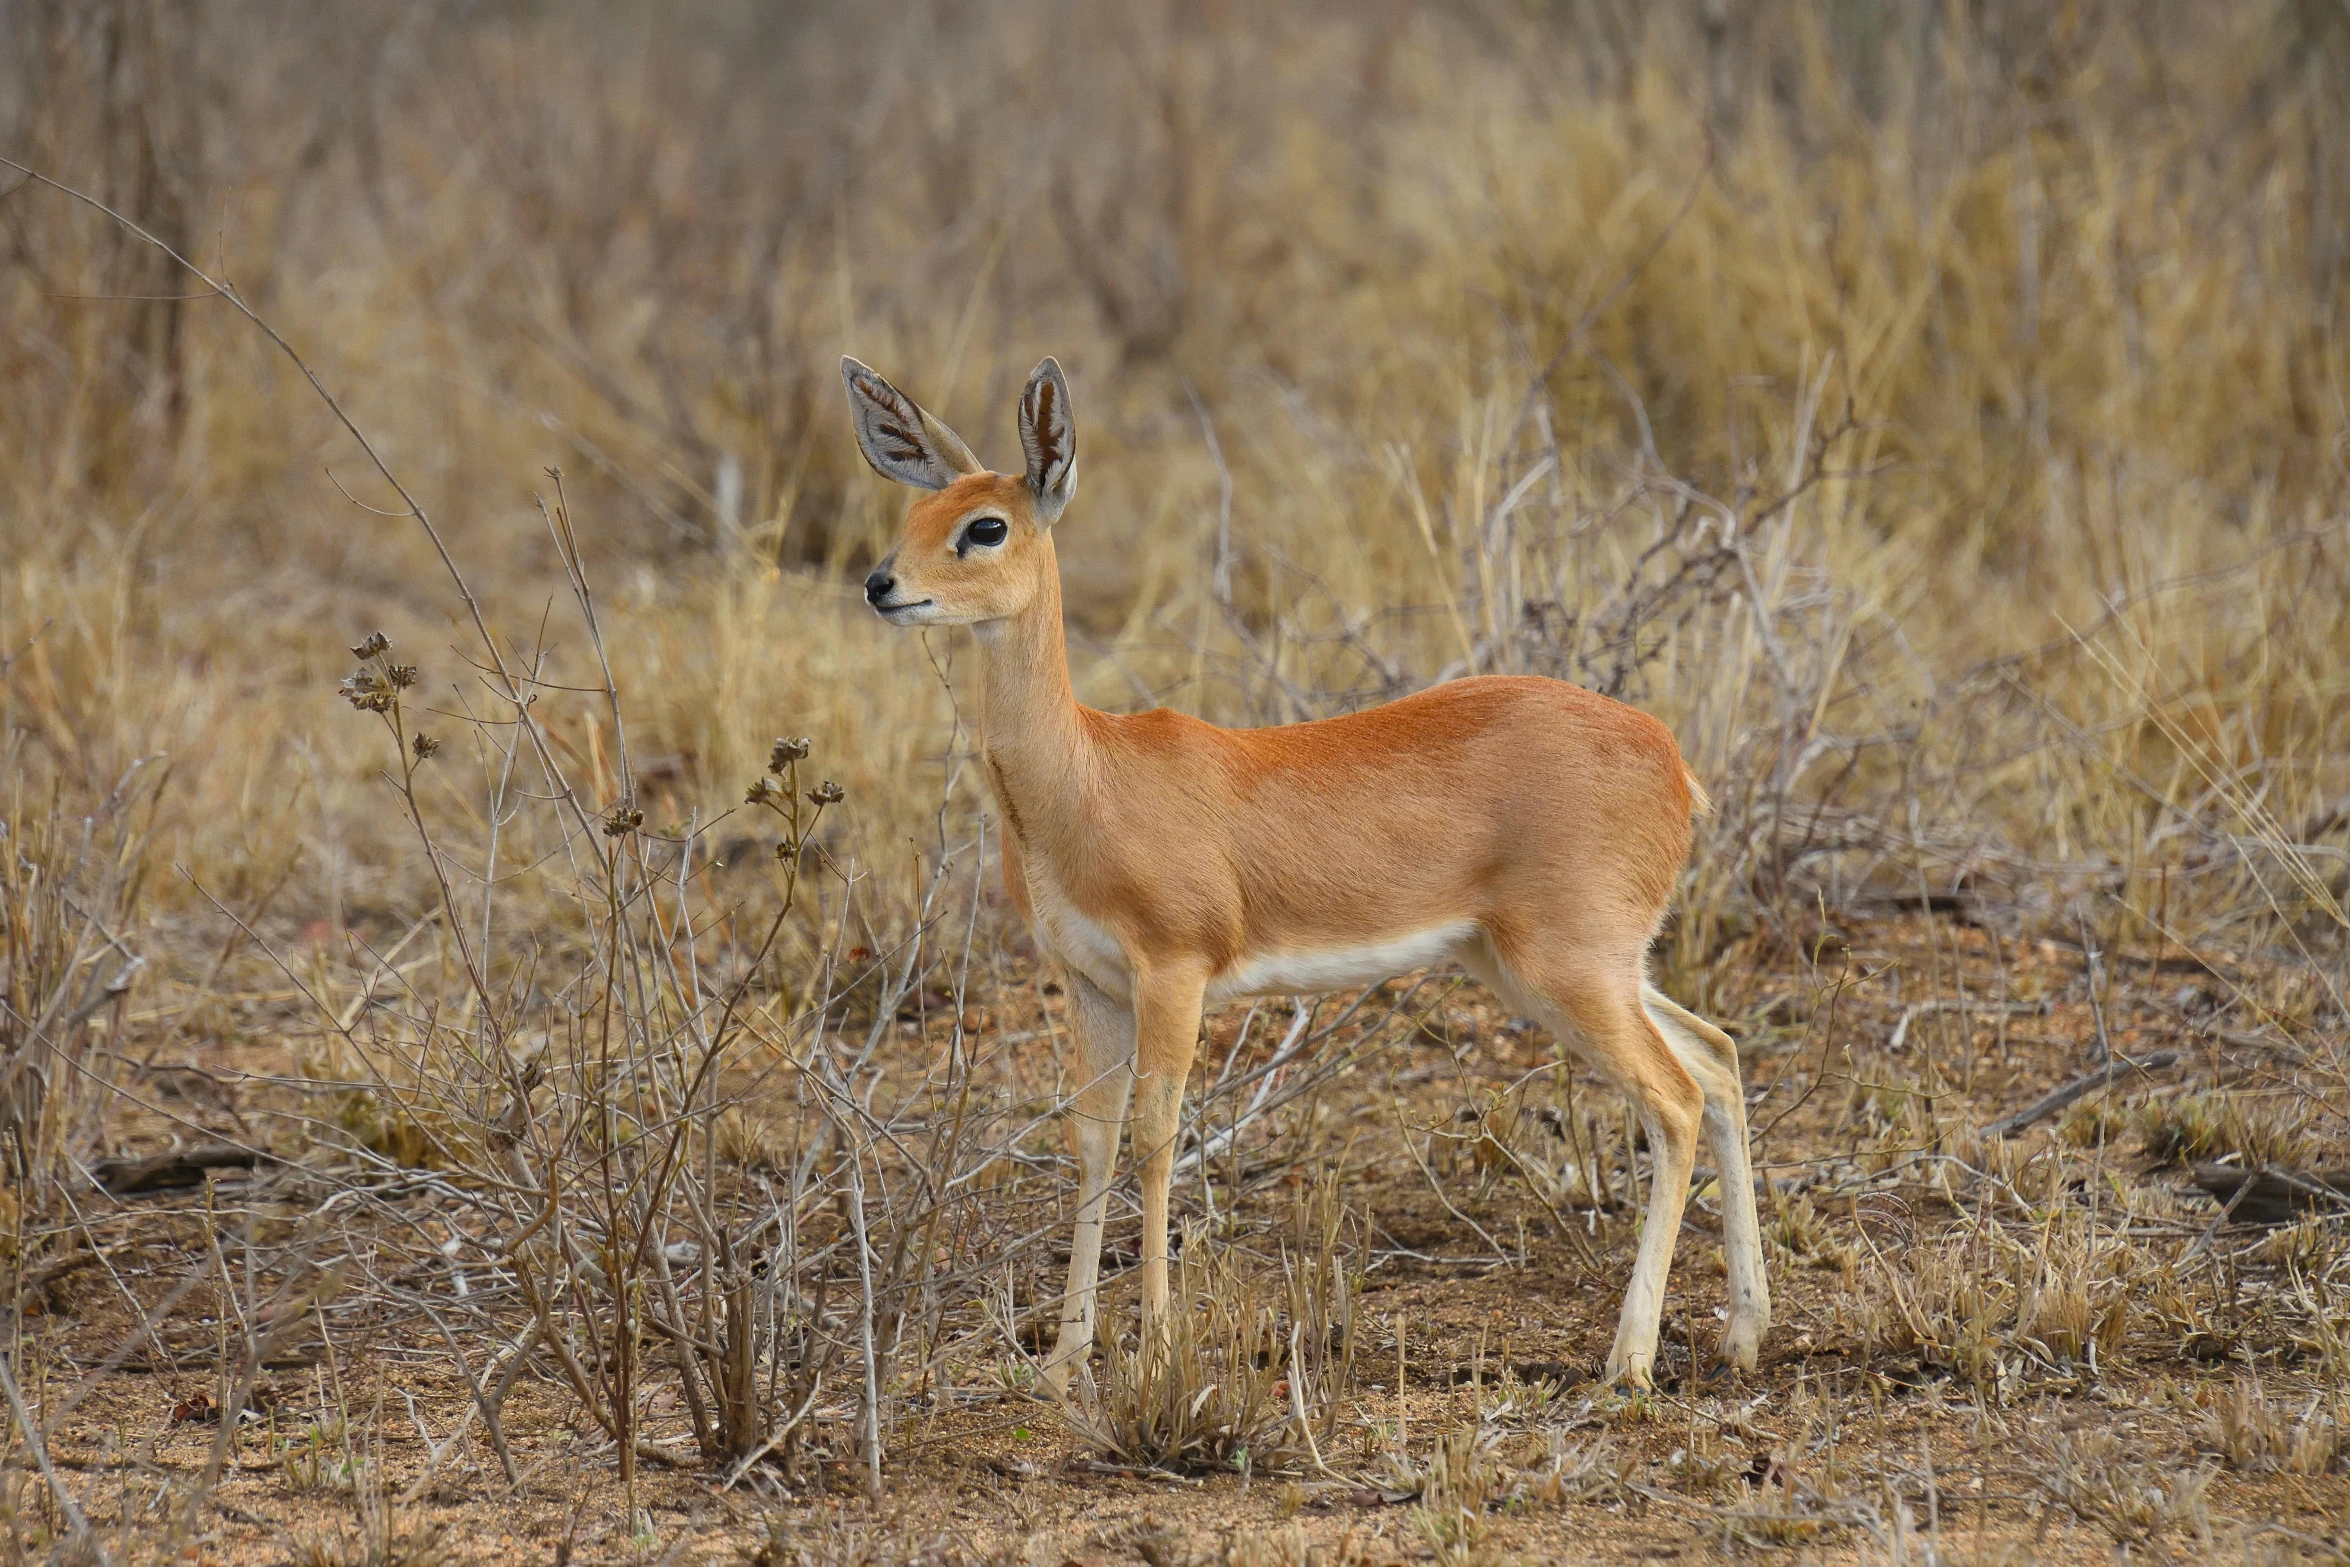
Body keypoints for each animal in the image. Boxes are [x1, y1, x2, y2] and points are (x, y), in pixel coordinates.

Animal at [845, 359, 1767, 1400]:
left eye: (986, 525)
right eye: (916, 511)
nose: (881, 584)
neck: (1088, 773)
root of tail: (1671, 758)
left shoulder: (1174, 972)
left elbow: (1157, 1136)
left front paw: (1155, 1347)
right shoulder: (1090, 982)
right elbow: (1092, 1138)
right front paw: (1067, 1360)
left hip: (1571, 968)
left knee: (1674, 1100)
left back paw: (1630, 1360)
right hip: (1556, 965)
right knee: (1718, 1058)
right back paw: (1744, 1335)